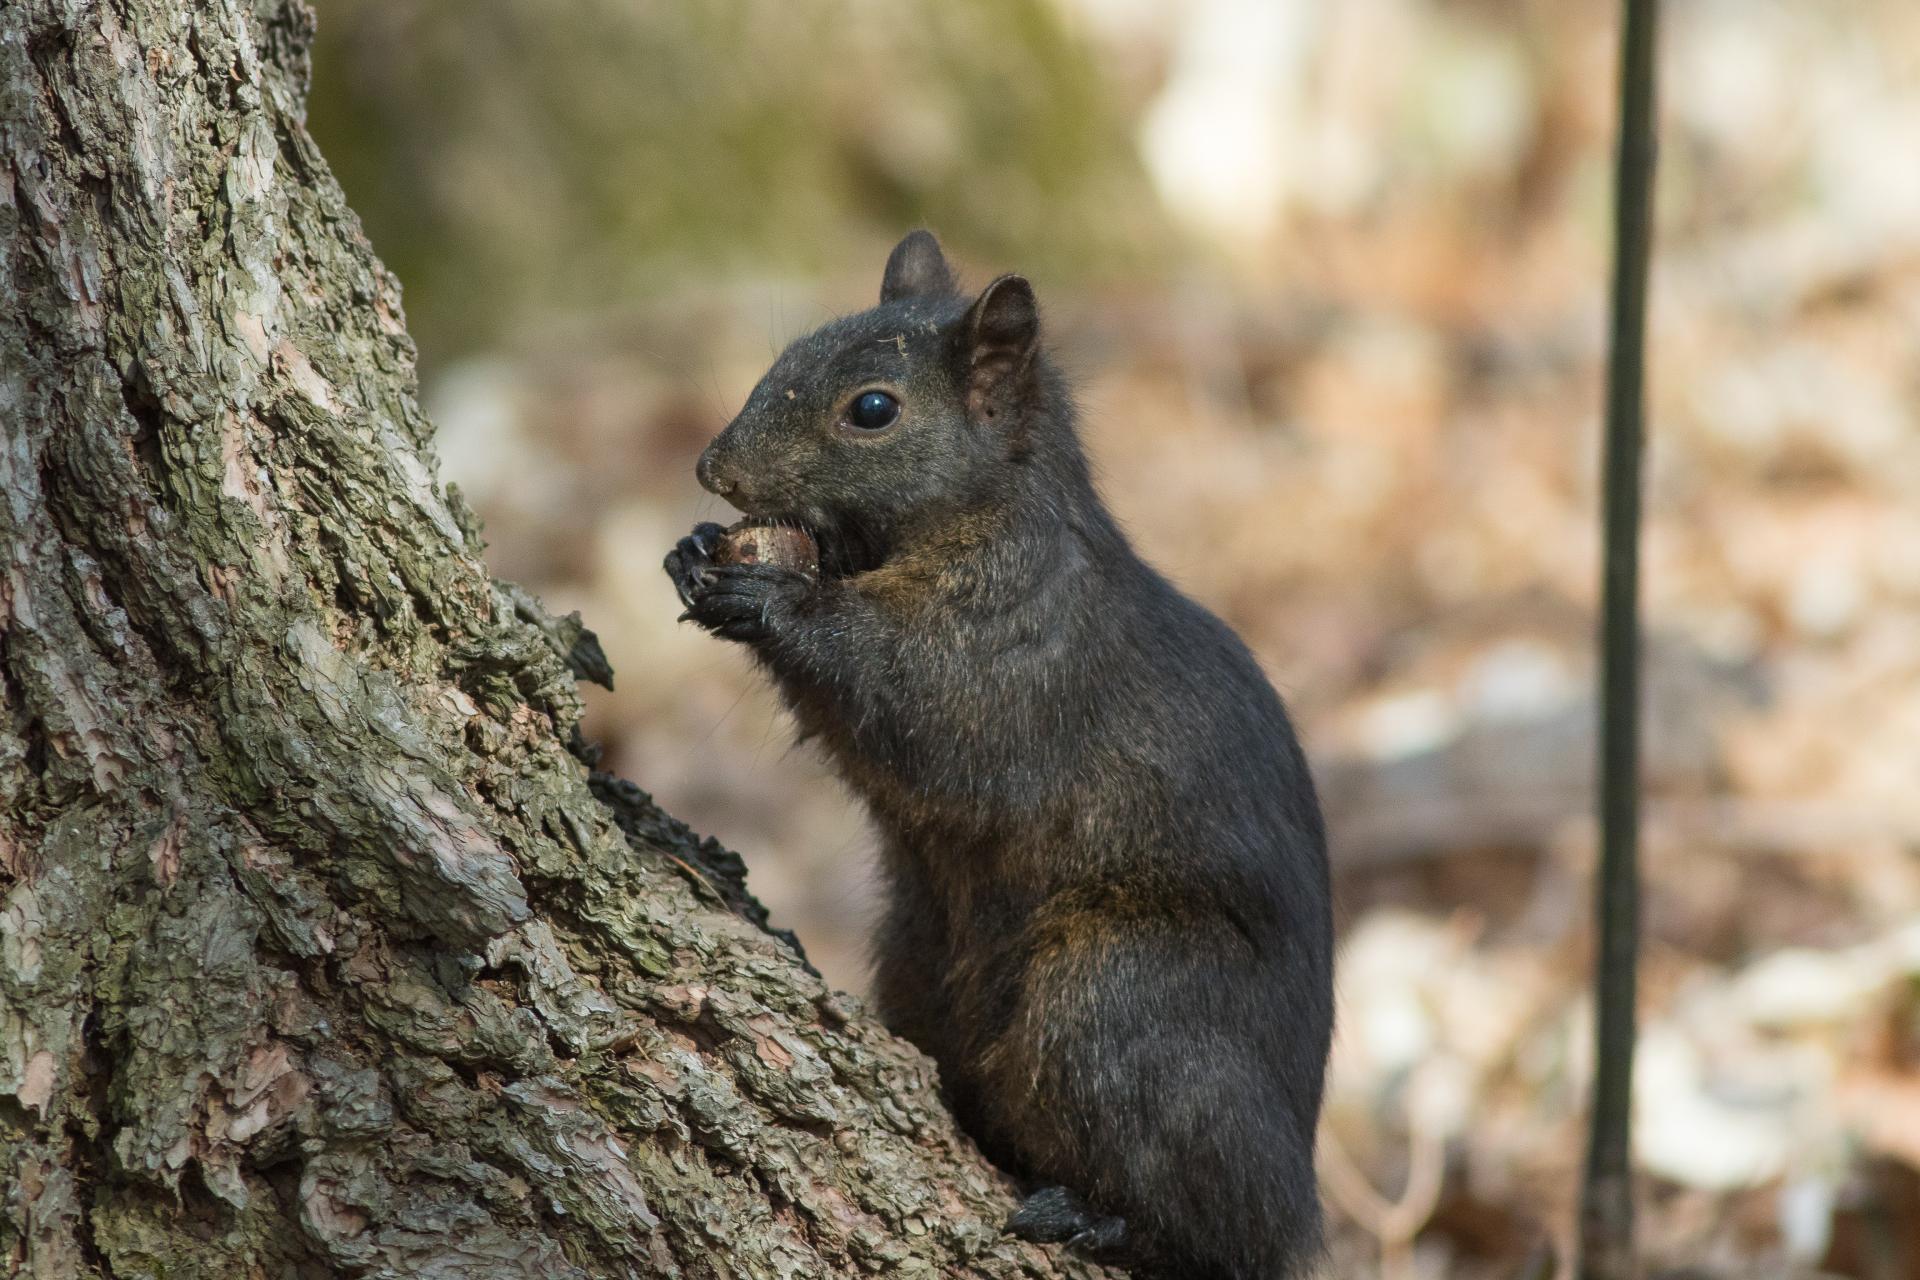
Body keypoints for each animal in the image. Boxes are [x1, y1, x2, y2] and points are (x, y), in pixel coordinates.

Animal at [664, 232, 1333, 1279]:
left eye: (873, 409)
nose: (713, 471)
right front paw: (697, 549)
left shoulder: (1011, 651)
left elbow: (916, 704)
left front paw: (772, 595)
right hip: (919, 961)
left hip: (1117, 1002)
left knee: (1214, 1225)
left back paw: (1099, 1219)